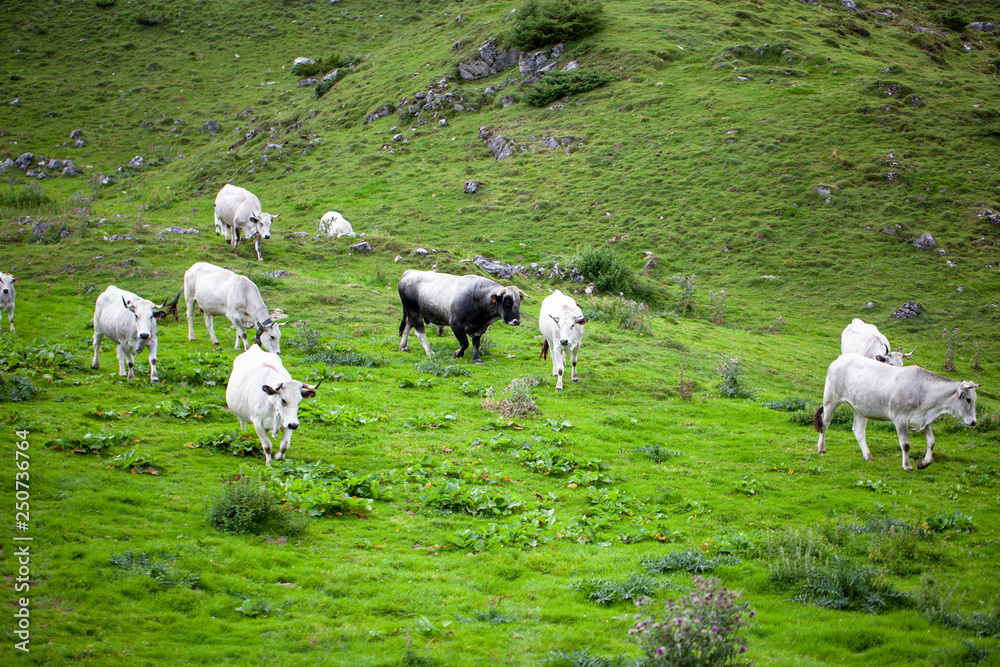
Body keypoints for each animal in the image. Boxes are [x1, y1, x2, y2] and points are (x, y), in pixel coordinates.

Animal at [814, 353, 980, 471]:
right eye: (968, 399)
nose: (973, 422)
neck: (924, 391)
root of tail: (841, 358)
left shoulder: (922, 421)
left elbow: (932, 442)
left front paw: (924, 463)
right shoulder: (900, 419)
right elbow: (905, 444)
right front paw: (907, 465)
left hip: (859, 408)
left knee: (858, 430)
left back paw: (868, 456)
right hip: (831, 400)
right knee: (825, 423)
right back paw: (821, 448)